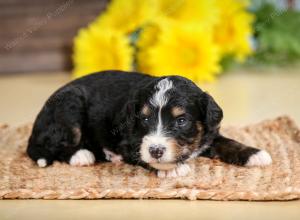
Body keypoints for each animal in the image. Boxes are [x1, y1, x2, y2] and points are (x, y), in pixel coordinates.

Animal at [27, 70, 272, 177]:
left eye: (181, 121)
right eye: (144, 119)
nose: (156, 150)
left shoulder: (208, 133)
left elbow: (227, 142)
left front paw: (255, 154)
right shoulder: (128, 141)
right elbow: (142, 155)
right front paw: (173, 168)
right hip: (70, 105)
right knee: (56, 144)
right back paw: (81, 155)